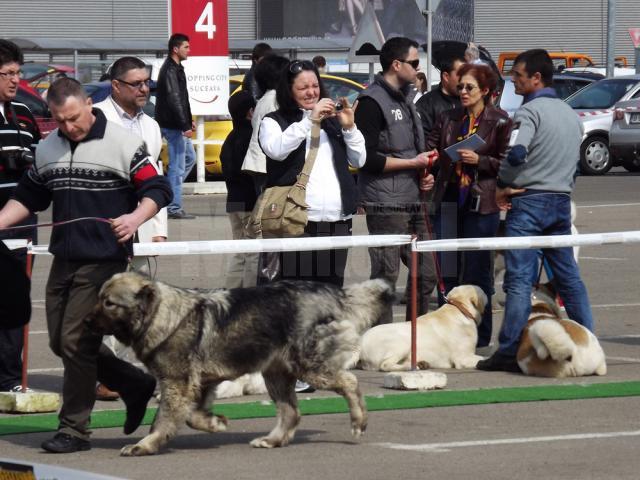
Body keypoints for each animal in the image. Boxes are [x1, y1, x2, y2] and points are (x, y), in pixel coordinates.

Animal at [87, 272, 392, 456]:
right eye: (99, 299)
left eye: (109, 303)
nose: (87, 321)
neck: (161, 314)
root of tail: (334, 292)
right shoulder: (199, 383)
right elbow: (191, 416)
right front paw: (215, 423)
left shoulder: (177, 383)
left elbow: (163, 419)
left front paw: (144, 445)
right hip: (276, 374)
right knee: (291, 413)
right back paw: (272, 440)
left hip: (309, 367)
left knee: (349, 382)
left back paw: (358, 422)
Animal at [358, 284, 488, 372]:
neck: (459, 308)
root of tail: (360, 345)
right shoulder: (463, 358)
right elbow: (482, 358)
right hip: (404, 342)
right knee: (385, 365)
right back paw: (413, 366)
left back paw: (421, 364)